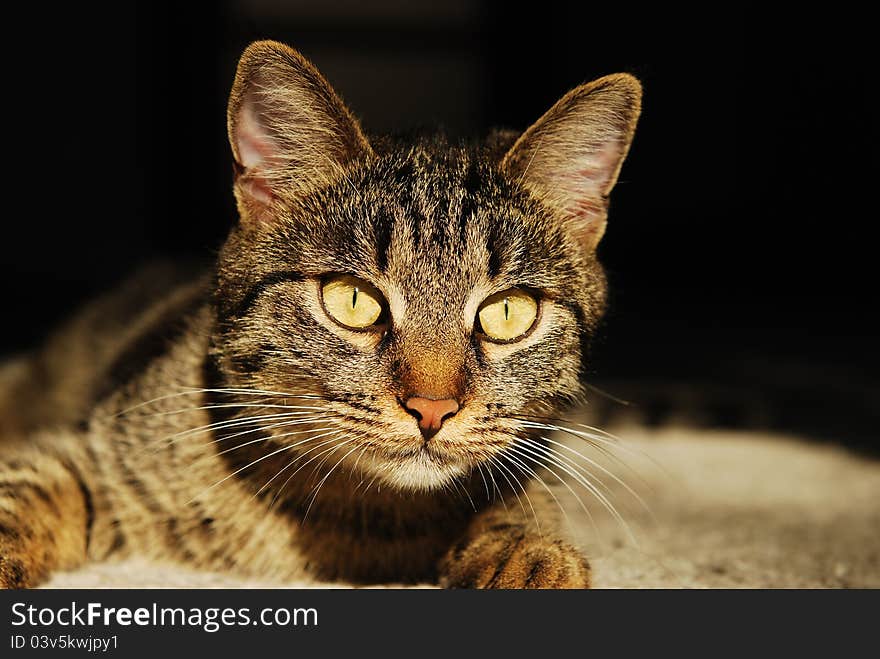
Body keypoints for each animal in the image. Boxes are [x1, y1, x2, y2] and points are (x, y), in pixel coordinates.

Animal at [0, 40, 640, 588]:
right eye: (352, 300)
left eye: (508, 313)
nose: (432, 409)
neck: (356, 524)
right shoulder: (85, 453)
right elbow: (22, 493)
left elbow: (526, 496)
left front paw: (525, 550)